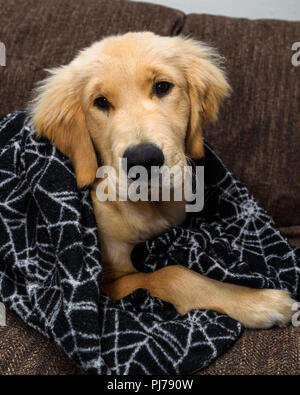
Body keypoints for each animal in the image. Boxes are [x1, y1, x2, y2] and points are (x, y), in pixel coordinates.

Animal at [28, 32, 296, 330]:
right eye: (101, 102)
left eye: (162, 87)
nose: (143, 160)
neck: (150, 206)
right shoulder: (110, 283)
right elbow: (169, 274)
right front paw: (256, 301)